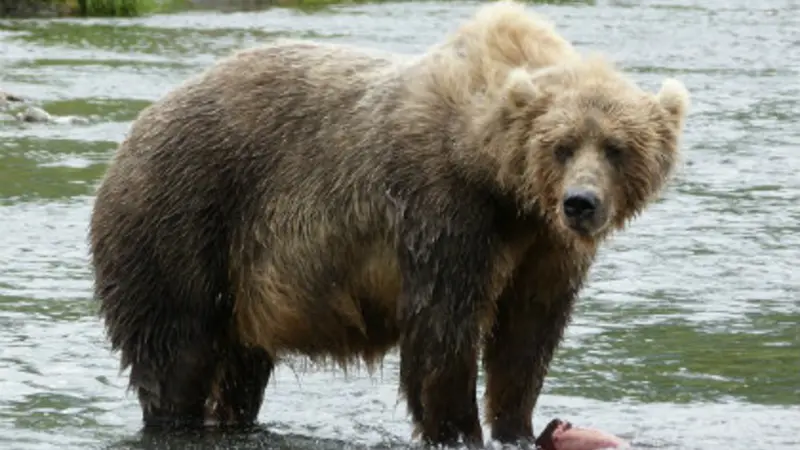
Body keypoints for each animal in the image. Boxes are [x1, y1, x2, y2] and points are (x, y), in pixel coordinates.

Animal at [88, 0, 690, 448]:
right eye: (561, 146)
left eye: (617, 148)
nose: (580, 203)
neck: (498, 178)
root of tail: (130, 136)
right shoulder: (445, 210)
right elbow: (442, 330)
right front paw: (458, 431)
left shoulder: (544, 248)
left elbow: (527, 334)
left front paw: (517, 426)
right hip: (181, 217)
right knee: (177, 351)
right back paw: (178, 418)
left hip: (241, 281)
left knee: (240, 366)